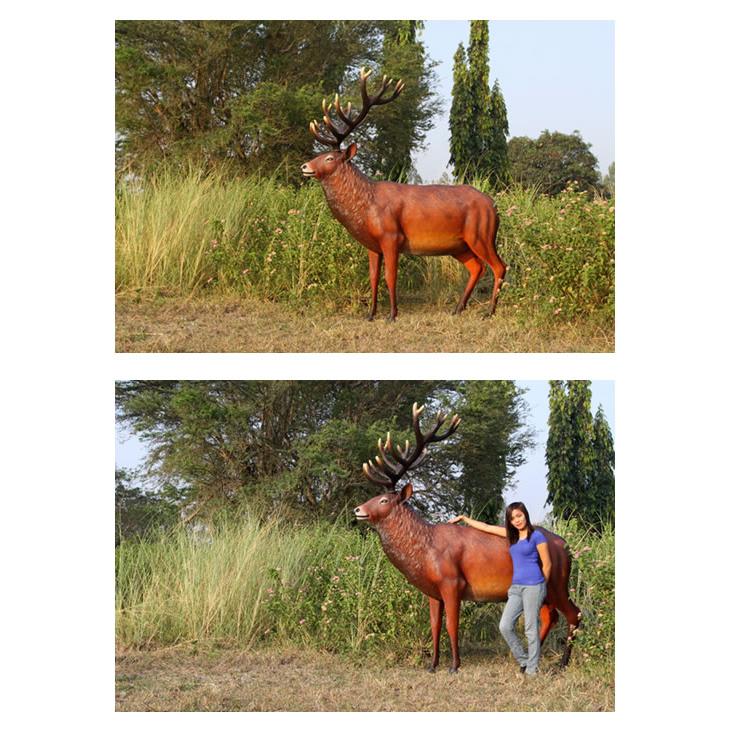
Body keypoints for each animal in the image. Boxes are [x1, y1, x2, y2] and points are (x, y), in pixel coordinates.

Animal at [301, 68, 507, 321]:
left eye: (330, 158)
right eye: (321, 154)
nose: (305, 166)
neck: (364, 208)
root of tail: (494, 206)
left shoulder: (391, 236)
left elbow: (390, 277)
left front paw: (392, 314)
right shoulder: (372, 245)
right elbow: (372, 278)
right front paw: (370, 315)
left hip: (481, 233)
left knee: (499, 266)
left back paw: (489, 311)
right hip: (460, 245)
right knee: (477, 267)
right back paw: (458, 308)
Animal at [354, 402, 582, 674]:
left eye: (384, 500)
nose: (357, 509)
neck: (423, 554)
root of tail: (566, 547)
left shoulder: (452, 582)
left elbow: (452, 625)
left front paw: (454, 665)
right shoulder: (432, 591)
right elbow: (434, 626)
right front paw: (432, 665)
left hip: (557, 580)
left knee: (574, 614)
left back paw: (563, 663)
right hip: (547, 588)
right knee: (551, 615)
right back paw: (530, 660)